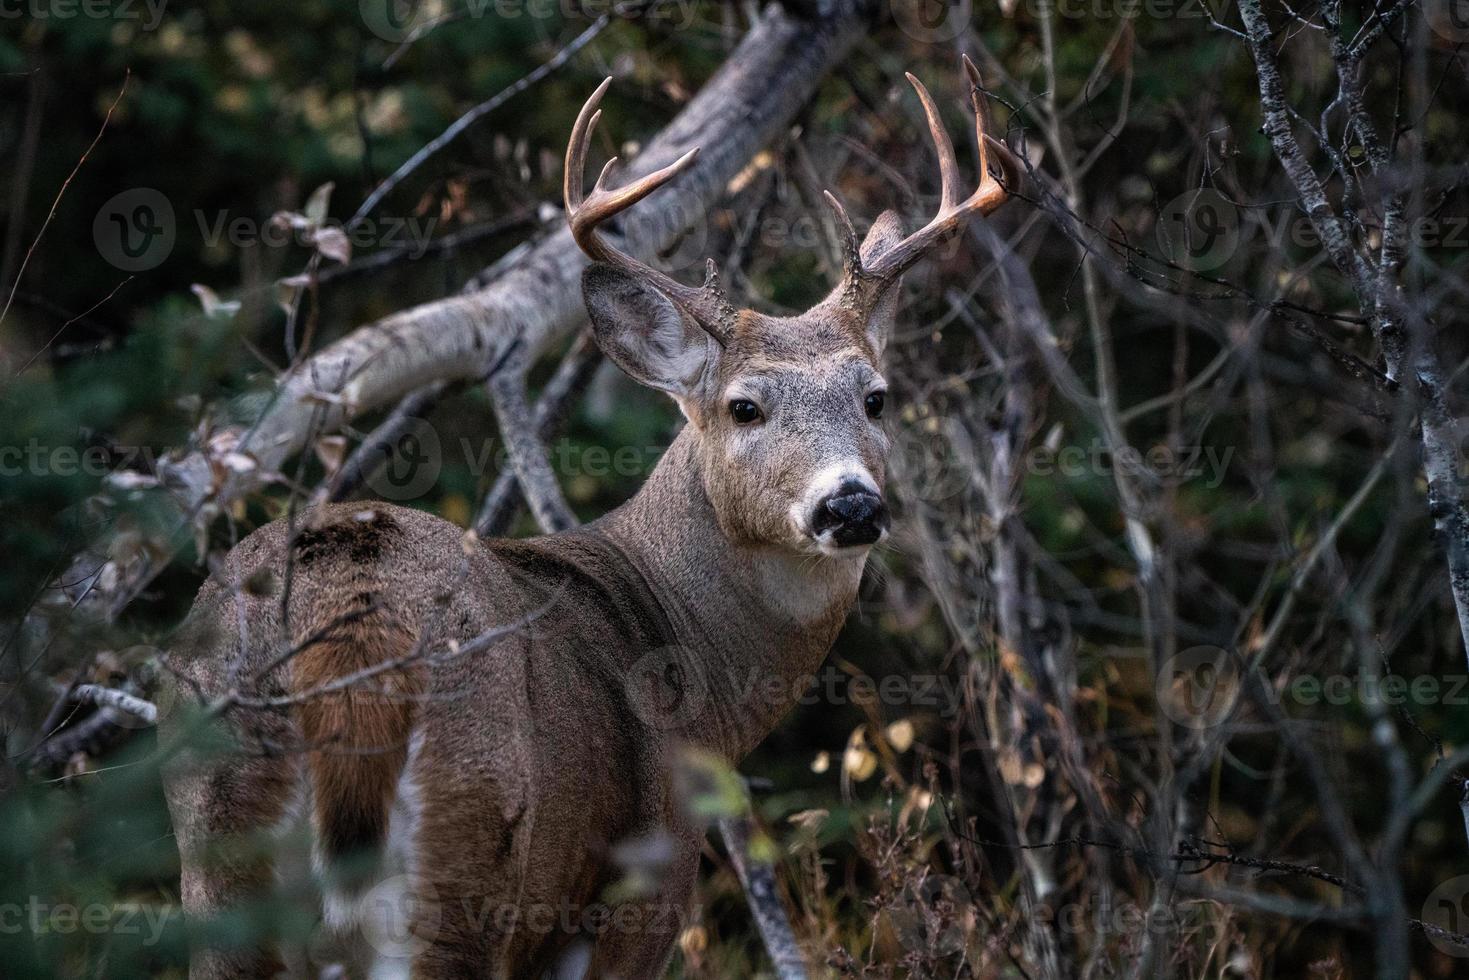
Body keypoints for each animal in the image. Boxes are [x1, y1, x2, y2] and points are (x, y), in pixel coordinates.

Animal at [157, 55, 1010, 980]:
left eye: (875, 397)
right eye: (744, 406)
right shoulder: (648, 883)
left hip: (217, 847)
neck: (689, 651)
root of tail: (351, 622)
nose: (849, 503)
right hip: (472, 836)